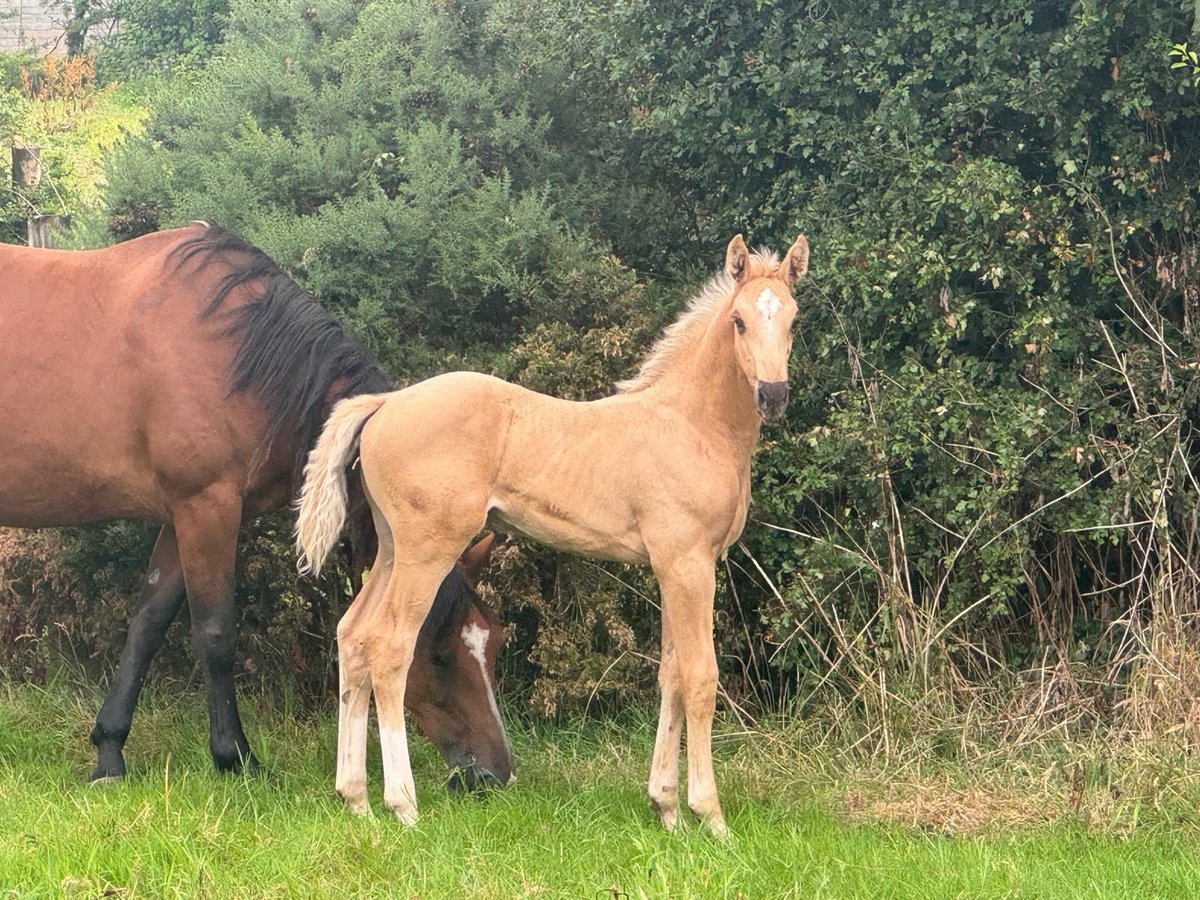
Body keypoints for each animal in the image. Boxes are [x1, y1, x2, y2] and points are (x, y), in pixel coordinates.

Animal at [0, 226, 511, 787]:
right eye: (440, 656)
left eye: (493, 643)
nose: (493, 774)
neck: (238, 351)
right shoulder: (207, 508)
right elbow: (216, 633)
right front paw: (235, 756)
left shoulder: (184, 516)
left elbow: (148, 624)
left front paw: (110, 752)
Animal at [295, 234, 811, 840]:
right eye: (738, 321)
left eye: (794, 320)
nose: (773, 395)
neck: (691, 424)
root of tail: (387, 403)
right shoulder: (689, 564)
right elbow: (701, 678)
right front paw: (710, 817)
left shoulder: (669, 568)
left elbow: (671, 676)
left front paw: (666, 810)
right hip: (428, 551)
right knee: (389, 646)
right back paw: (402, 805)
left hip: (393, 549)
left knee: (352, 635)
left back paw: (355, 798)